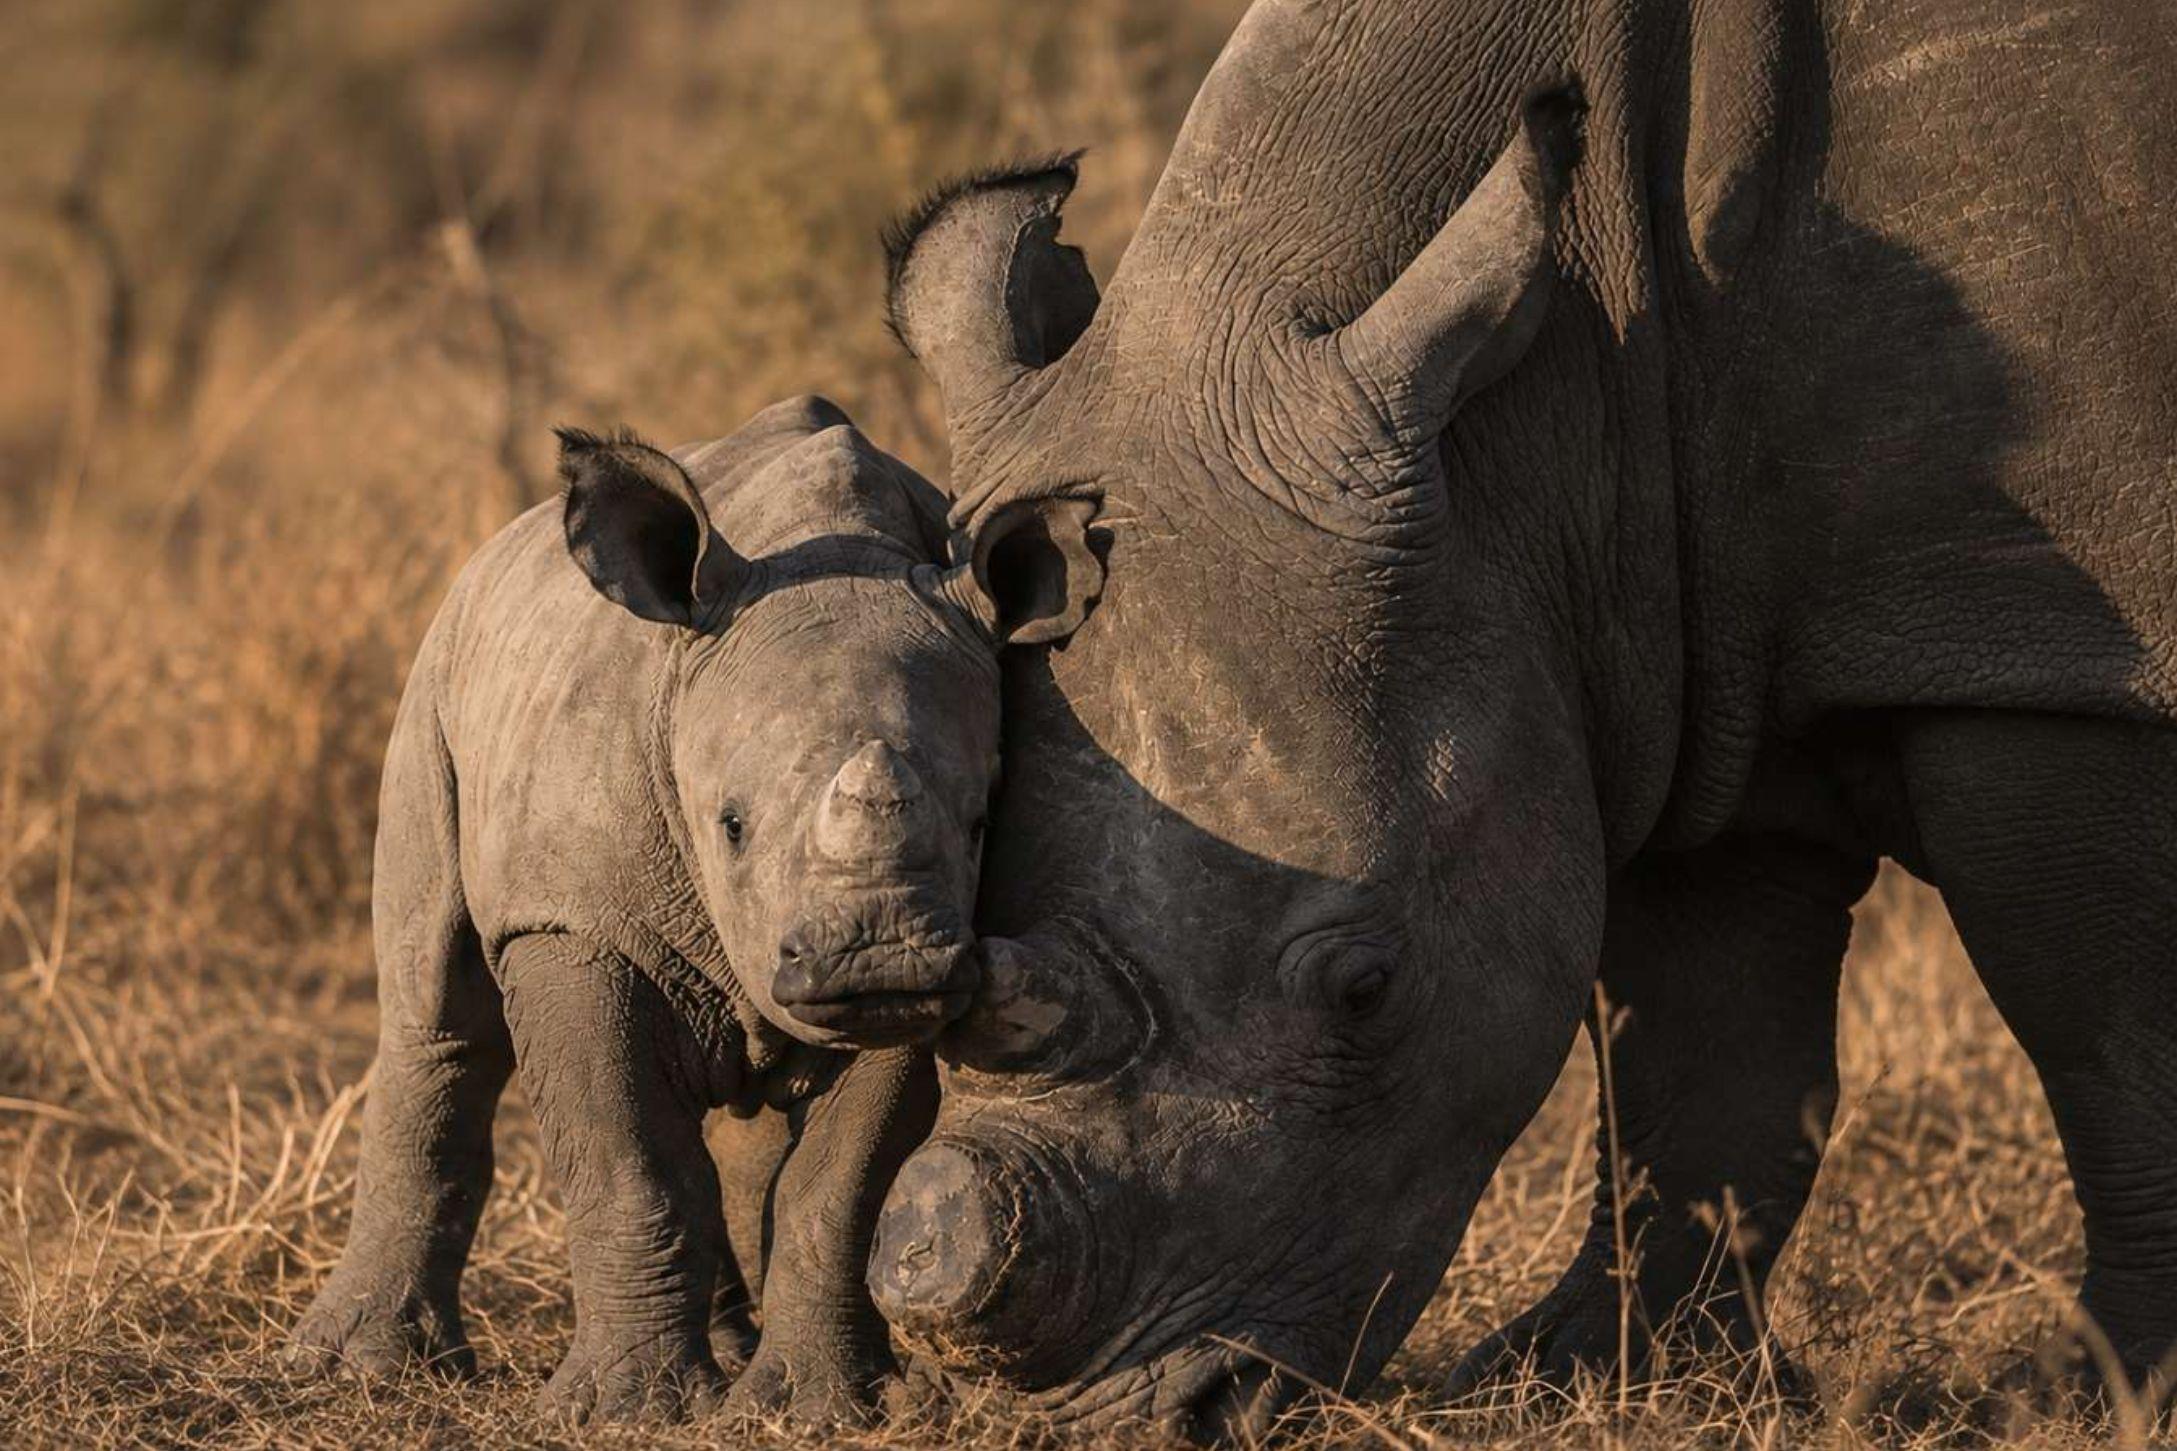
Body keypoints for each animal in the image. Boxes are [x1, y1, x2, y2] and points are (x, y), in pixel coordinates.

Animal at [284, 397, 1100, 1423]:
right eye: (731, 824)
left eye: (981, 820)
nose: (874, 958)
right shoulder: (572, 922)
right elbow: (627, 1162)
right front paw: (625, 1411)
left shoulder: (938, 966)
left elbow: (838, 1185)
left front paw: (817, 1410)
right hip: (436, 674)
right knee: (436, 1012)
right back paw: (361, 1368)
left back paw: (737, 1360)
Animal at [862, 0, 2177, 1437]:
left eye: (1366, 988)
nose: (1127, 1421)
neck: (1539, 413)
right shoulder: (1668, 634)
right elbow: (1700, 1058)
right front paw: (1592, 1378)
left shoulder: (2046, 648)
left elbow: (2107, 1032)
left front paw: (2102, 1396)